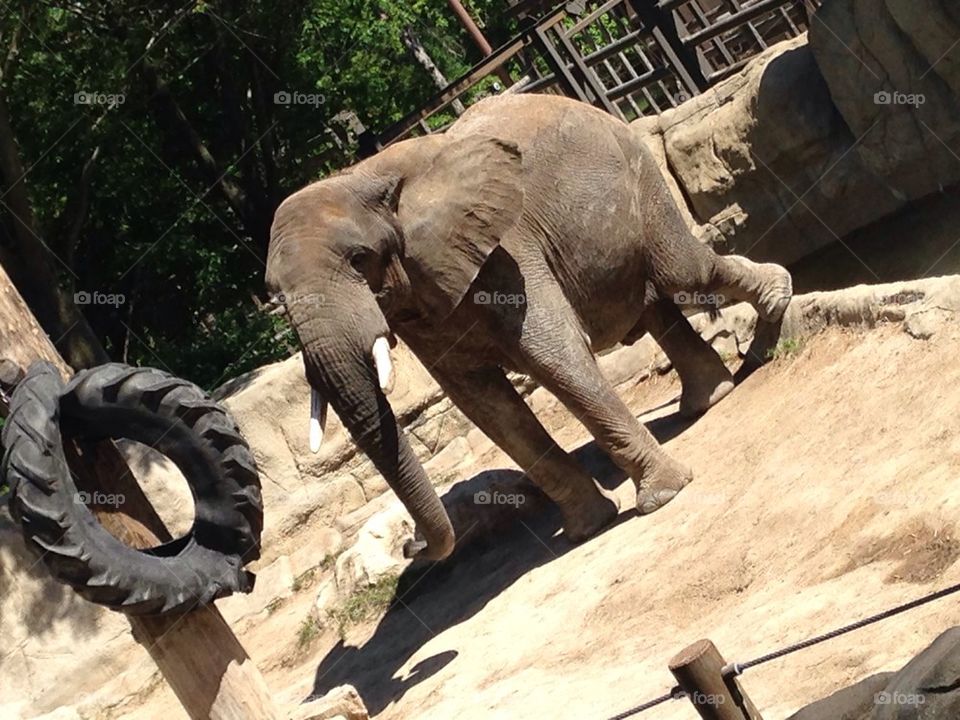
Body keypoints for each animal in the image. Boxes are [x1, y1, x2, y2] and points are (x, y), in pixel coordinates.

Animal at [265, 94, 792, 562]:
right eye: (275, 295)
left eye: (359, 259)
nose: (407, 547)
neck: (359, 178)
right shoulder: (420, 298)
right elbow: (486, 404)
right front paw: (588, 528)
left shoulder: (506, 252)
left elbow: (552, 357)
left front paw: (663, 497)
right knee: (653, 304)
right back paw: (710, 398)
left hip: (638, 170)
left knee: (685, 273)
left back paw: (775, 304)